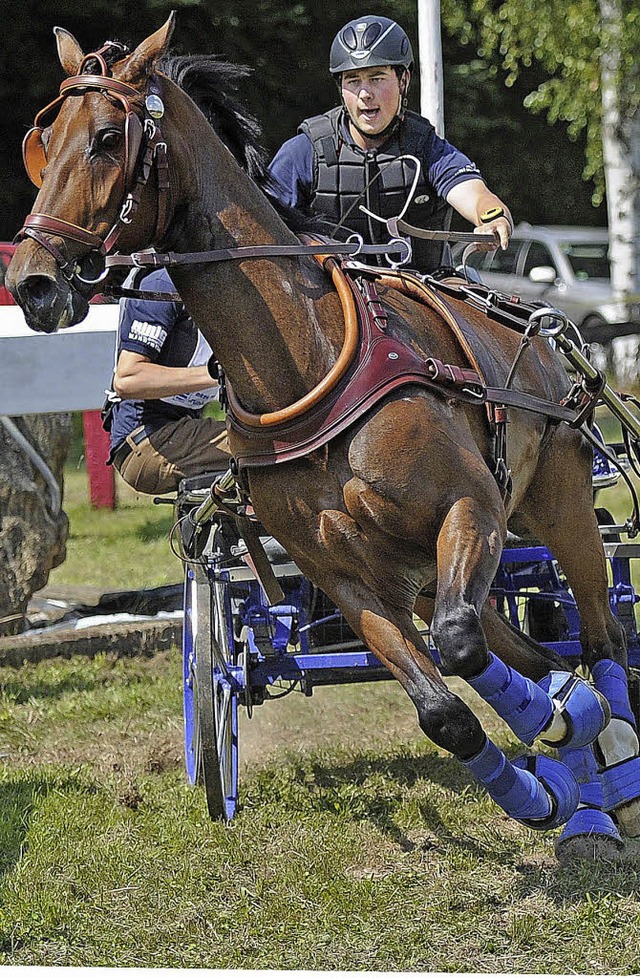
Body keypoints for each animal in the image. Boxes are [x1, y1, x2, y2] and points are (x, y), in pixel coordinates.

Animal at [8, 17, 640, 856]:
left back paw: (612, 768)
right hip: (426, 565)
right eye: (44, 140)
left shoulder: (470, 507)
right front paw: (543, 785)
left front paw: (574, 739)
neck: (308, 361)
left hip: (558, 503)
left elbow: (463, 645)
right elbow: (444, 705)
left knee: (597, 636)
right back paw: (583, 770)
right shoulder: (346, 575)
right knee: (523, 646)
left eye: (109, 138)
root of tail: (535, 325)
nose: (32, 282)